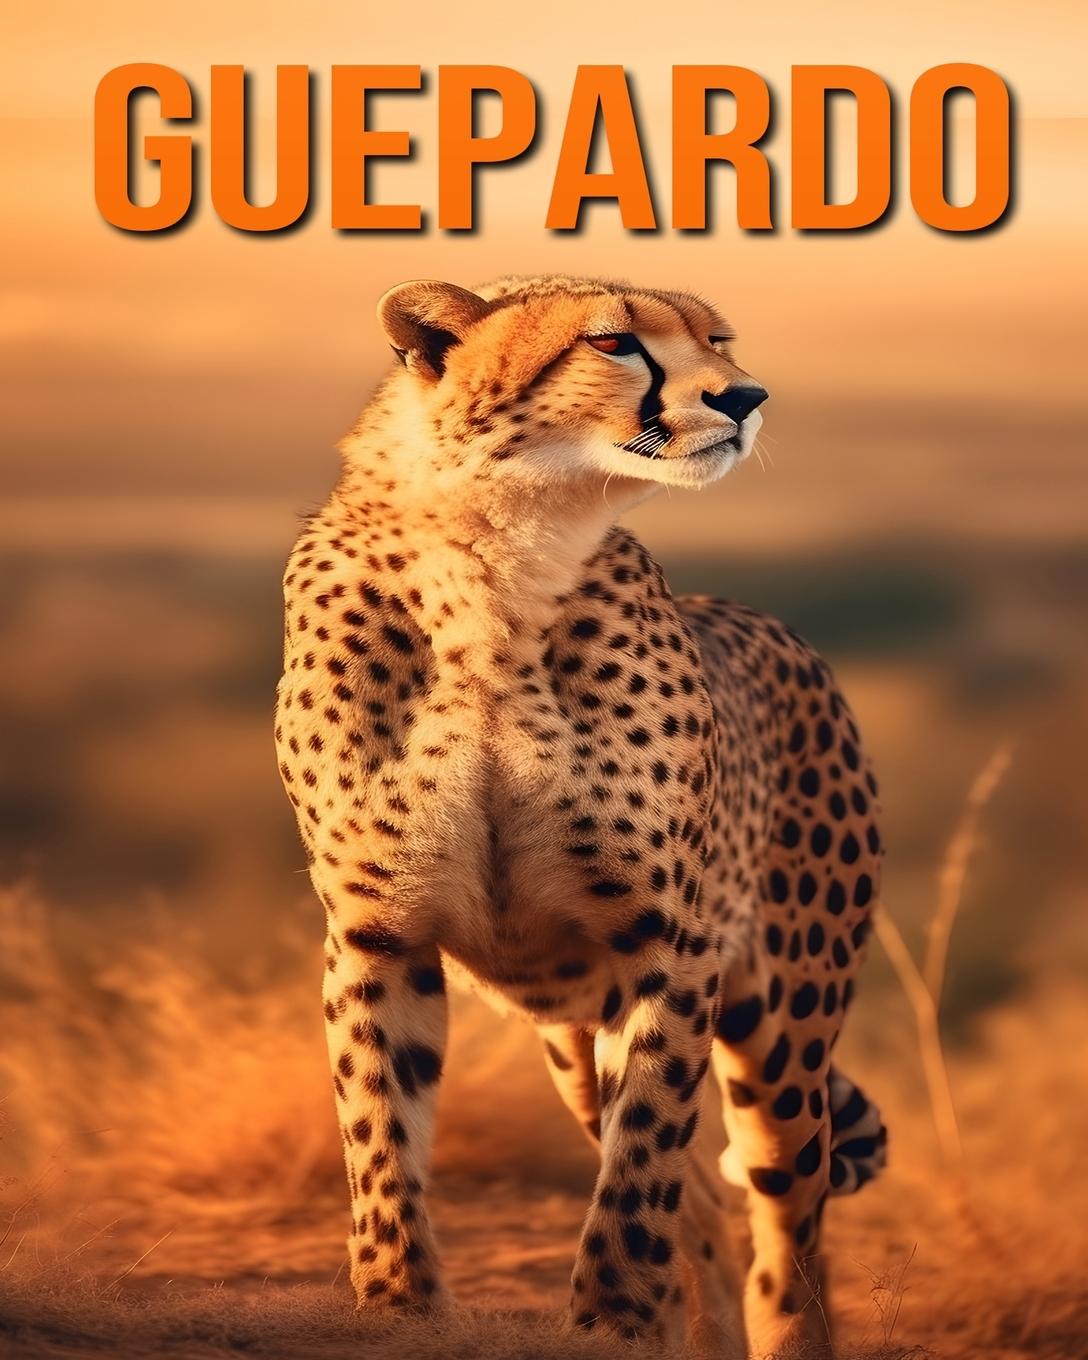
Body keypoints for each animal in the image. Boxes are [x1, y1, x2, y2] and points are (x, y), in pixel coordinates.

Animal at [274, 273, 886, 1358]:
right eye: (613, 342)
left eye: (717, 339)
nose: (745, 395)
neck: (494, 560)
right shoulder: (378, 931)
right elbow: (380, 1138)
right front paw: (397, 1307)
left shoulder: (665, 942)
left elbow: (639, 1170)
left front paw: (610, 1319)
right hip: (569, 1040)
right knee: (702, 1206)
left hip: (783, 1019)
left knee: (787, 1209)